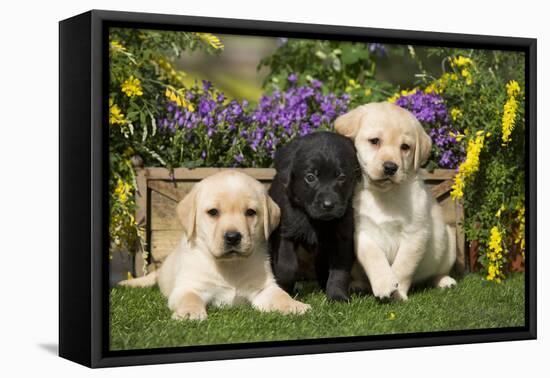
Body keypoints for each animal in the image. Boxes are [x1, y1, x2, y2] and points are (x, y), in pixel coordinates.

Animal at [120, 170, 310, 320]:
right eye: (213, 212)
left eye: (250, 212)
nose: (233, 237)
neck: (230, 266)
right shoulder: (188, 287)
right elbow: (190, 298)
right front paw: (190, 313)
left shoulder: (264, 288)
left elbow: (280, 295)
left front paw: (294, 305)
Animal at [268, 131, 362, 302]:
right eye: (310, 177)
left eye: (341, 177)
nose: (328, 205)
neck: (315, 221)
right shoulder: (286, 232)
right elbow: (287, 266)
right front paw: (285, 290)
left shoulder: (343, 238)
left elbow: (340, 271)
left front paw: (337, 296)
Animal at [336, 101, 458, 302]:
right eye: (374, 141)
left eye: (405, 147)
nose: (390, 167)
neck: (384, 194)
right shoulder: (362, 232)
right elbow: (373, 256)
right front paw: (384, 283)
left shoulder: (415, 234)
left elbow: (403, 265)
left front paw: (398, 292)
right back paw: (358, 285)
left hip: (448, 242)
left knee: (437, 272)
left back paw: (445, 281)